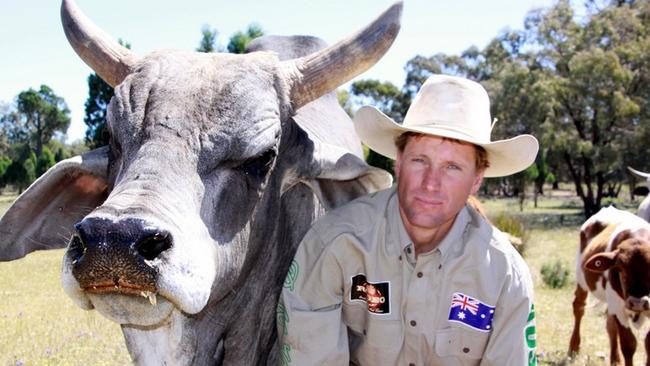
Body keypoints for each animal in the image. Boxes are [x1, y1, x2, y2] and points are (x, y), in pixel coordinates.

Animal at [568, 206, 648, 366]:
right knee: (578, 307)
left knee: (610, 326)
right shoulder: (618, 307)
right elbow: (628, 344)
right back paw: (573, 348)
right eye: (620, 268)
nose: (638, 303)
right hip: (582, 280)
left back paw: (615, 359)